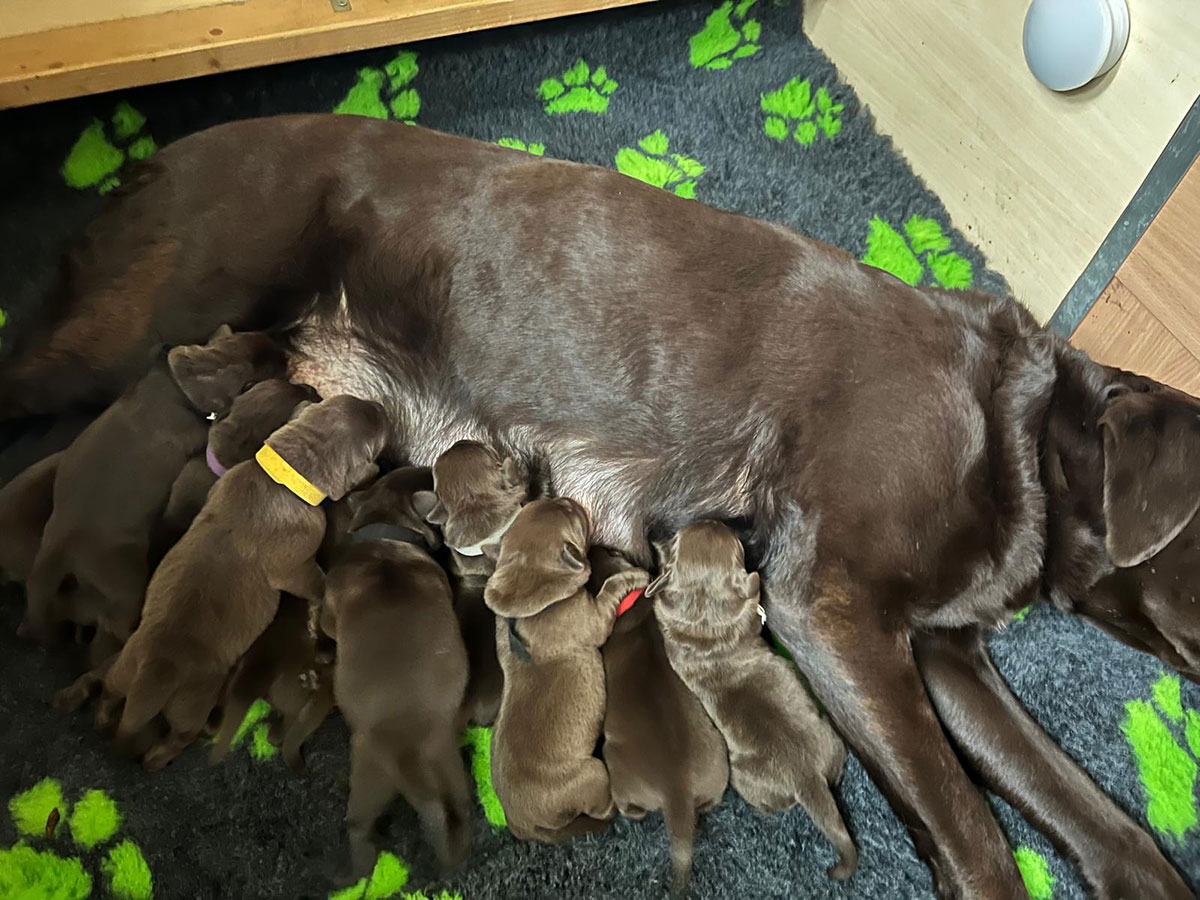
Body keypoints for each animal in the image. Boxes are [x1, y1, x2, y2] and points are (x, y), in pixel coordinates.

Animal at [321, 467, 472, 877]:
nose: (429, 464)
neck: (386, 535)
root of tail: (406, 752)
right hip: (434, 765)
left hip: (371, 773)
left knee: (358, 826)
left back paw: (361, 870)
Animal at [485, 497, 626, 843]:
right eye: (571, 515)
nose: (564, 498)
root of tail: (523, 825)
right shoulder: (595, 618)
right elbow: (609, 591)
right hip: (591, 775)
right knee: (601, 807)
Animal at [593, 547, 729, 893]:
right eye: (610, 550)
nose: (593, 547)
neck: (630, 603)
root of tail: (676, 792)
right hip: (717, 763)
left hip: (617, 769)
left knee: (632, 808)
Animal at [648, 520, 857, 881]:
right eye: (738, 548)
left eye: (680, 538)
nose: (712, 519)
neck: (703, 608)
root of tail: (805, 777)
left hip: (829, 743)